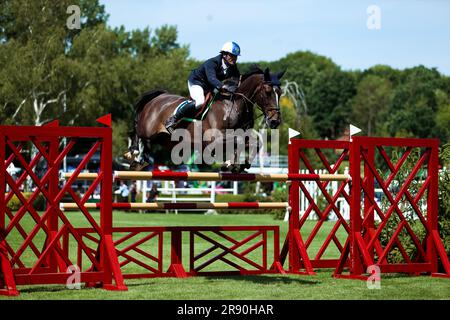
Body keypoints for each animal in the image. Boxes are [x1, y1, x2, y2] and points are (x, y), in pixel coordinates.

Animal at [123, 66, 286, 172]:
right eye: (268, 92)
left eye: (280, 92)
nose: (275, 121)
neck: (234, 104)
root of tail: (158, 97)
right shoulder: (214, 138)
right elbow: (238, 141)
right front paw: (230, 164)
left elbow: (255, 143)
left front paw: (241, 165)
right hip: (148, 129)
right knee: (136, 132)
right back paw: (134, 155)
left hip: (164, 139)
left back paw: (139, 161)